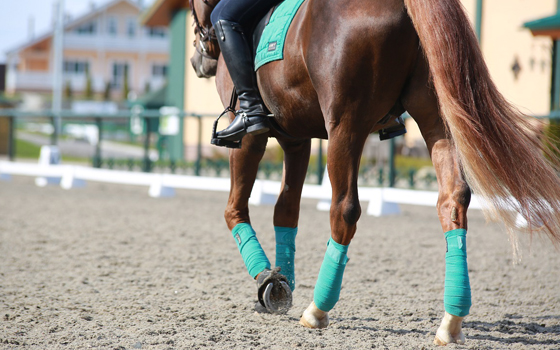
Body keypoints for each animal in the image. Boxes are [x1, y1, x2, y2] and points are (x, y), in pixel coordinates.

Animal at [188, 0, 560, 344]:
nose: (197, 62)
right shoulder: (296, 139)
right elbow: (286, 211)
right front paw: (282, 280)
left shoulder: (252, 137)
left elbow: (234, 210)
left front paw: (268, 280)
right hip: (435, 115)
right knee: (453, 200)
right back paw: (451, 322)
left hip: (345, 127)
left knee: (344, 209)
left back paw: (318, 310)